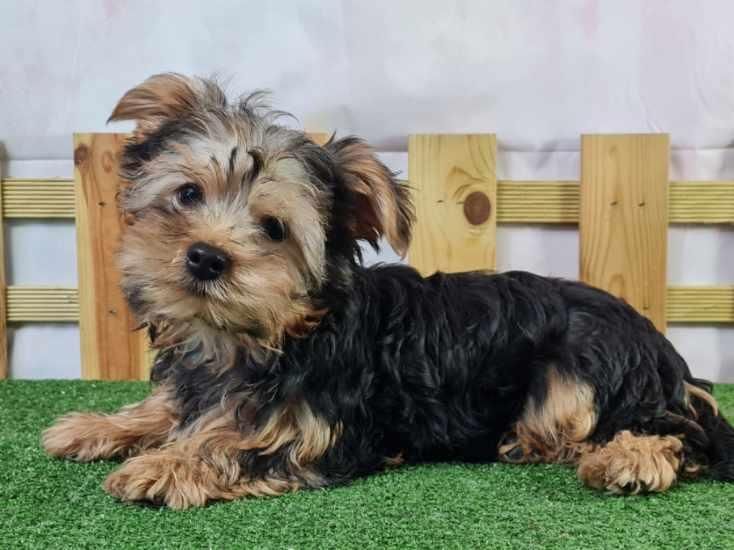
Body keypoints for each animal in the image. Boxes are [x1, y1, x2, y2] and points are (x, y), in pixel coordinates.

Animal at [43, 74, 734, 508]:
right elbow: (173, 408)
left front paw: (167, 464)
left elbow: (240, 443)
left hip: (580, 373)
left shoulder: (324, 428)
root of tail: (663, 350)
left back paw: (625, 460)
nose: (206, 257)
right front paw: (98, 426)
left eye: (273, 228)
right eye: (187, 194)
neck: (272, 331)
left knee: (677, 434)